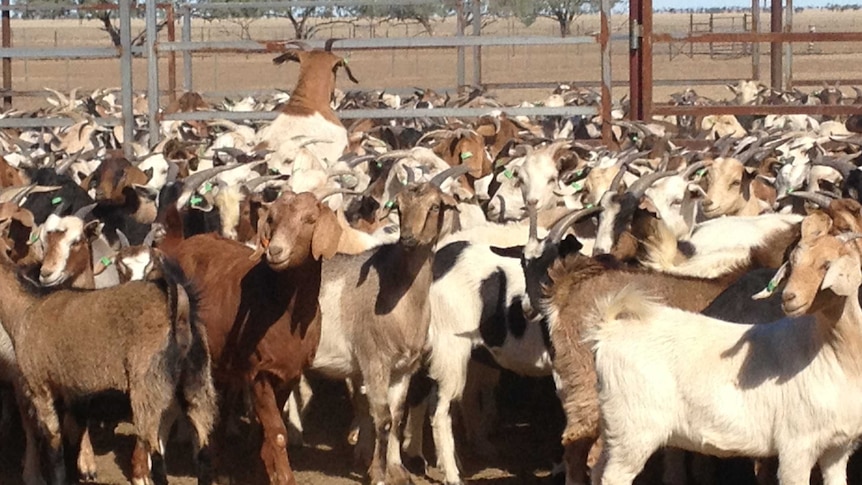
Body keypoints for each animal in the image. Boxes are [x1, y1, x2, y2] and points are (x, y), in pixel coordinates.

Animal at [592, 210, 862, 482]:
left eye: (827, 265)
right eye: (792, 263)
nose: (789, 297)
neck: (829, 352)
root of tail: (610, 330)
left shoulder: (839, 448)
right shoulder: (796, 446)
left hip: (613, 425)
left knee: (597, 467)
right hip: (635, 427)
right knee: (615, 475)